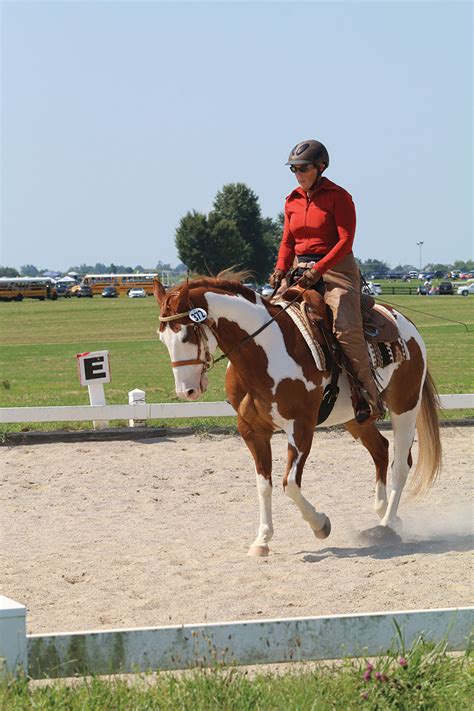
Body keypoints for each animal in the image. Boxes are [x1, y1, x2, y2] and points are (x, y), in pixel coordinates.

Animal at [155, 276, 440, 560]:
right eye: (162, 338)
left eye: (186, 334)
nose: (186, 391)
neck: (266, 351)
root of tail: (405, 322)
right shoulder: (252, 431)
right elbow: (264, 484)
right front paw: (262, 540)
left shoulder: (301, 427)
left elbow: (290, 483)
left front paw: (320, 524)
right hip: (356, 417)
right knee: (380, 450)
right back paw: (382, 510)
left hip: (405, 406)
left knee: (401, 464)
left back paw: (387, 526)